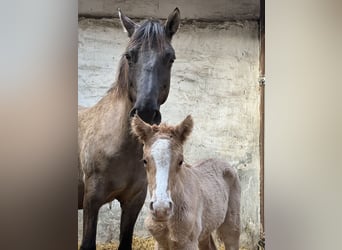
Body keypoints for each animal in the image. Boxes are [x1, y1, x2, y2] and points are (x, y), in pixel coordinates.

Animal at [131, 115, 240, 250]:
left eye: (180, 161)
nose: (161, 209)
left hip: (232, 225)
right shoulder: (160, 243)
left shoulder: (189, 243)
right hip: (204, 232)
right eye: (144, 161)